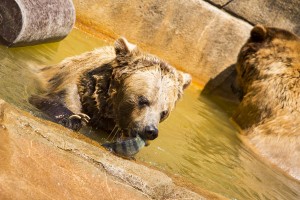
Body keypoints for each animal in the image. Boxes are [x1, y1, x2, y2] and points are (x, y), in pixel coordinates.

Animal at [29, 37, 191, 142]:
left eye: (164, 112)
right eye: (143, 100)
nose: (150, 130)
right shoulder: (72, 87)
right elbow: (51, 100)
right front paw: (76, 118)